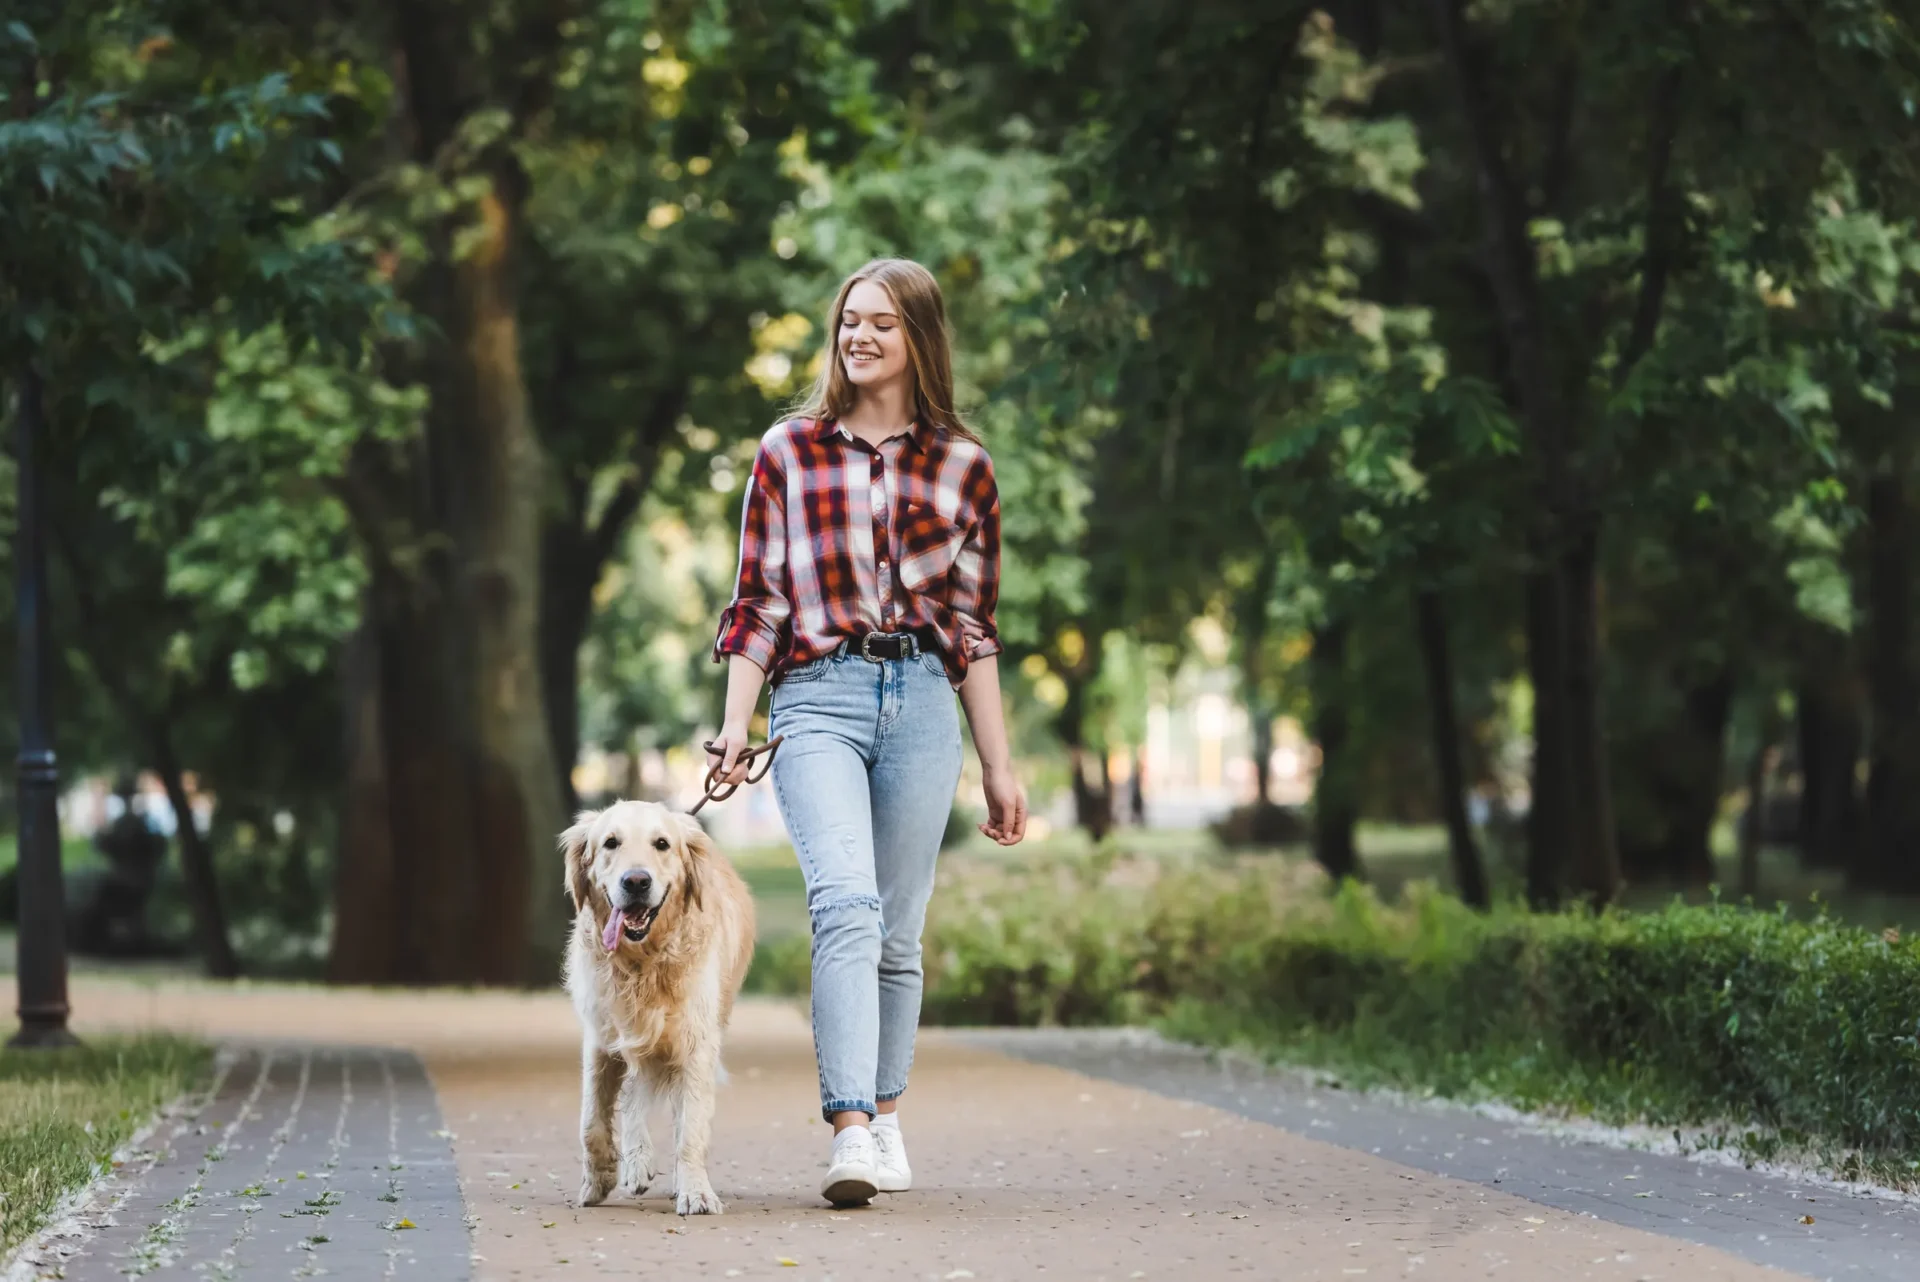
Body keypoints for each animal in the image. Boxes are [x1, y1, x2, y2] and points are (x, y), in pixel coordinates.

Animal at [560, 802, 752, 1212]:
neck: (642, 963)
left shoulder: (697, 1044)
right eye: (610, 843)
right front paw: (598, 1180)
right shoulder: (601, 1041)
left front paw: (695, 1191)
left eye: (661, 844)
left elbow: (690, 1127)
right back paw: (636, 1164)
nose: (636, 882)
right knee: (634, 1097)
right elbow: (591, 1121)